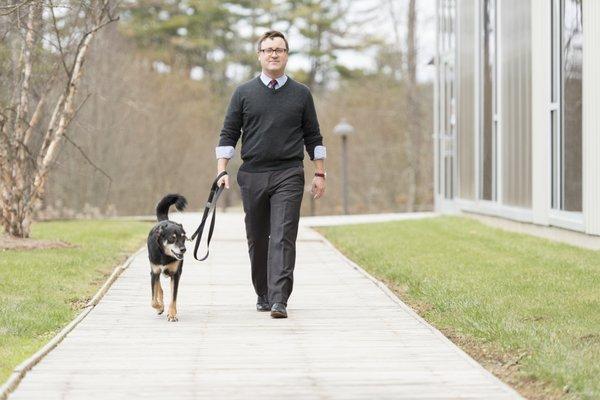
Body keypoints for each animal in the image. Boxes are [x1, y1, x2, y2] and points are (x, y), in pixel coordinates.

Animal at [146, 194, 186, 322]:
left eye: (184, 237)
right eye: (172, 238)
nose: (183, 249)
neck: (164, 254)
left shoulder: (176, 274)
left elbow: (173, 298)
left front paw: (172, 314)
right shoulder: (154, 272)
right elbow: (153, 300)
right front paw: (160, 307)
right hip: (155, 271)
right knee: (159, 288)